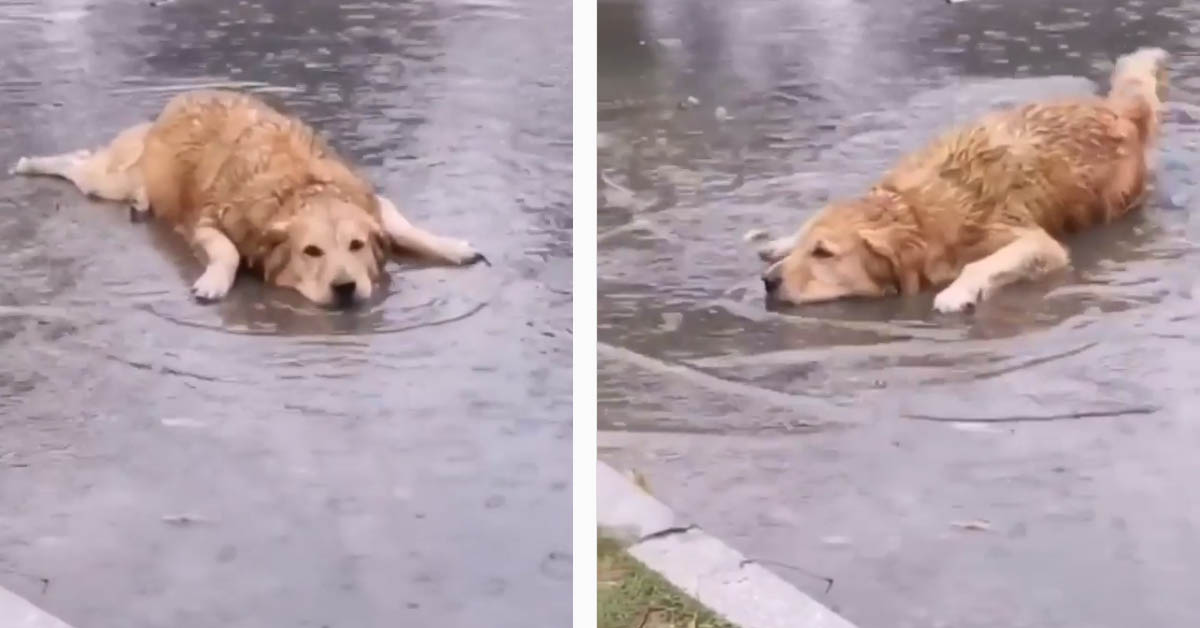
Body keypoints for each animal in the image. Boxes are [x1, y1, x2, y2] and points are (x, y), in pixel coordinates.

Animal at [11, 89, 484, 307]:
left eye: (356, 245)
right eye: (311, 251)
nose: (346, 288)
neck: (301, 189)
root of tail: (182, 98)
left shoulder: (372, 201)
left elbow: (404, 225)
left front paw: (450, 246)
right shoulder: (205, 222)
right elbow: (228, 252)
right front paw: (215, 280)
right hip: (111, 180)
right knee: (78, 163)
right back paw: (32, 163)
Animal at [753, 48, 1166, 312]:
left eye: (823, 253)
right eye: (808, 249)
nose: (768, 282)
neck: (916, 215)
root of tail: (1115, 110)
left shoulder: (1037, 243)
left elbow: (984, 263)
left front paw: (957, 292)